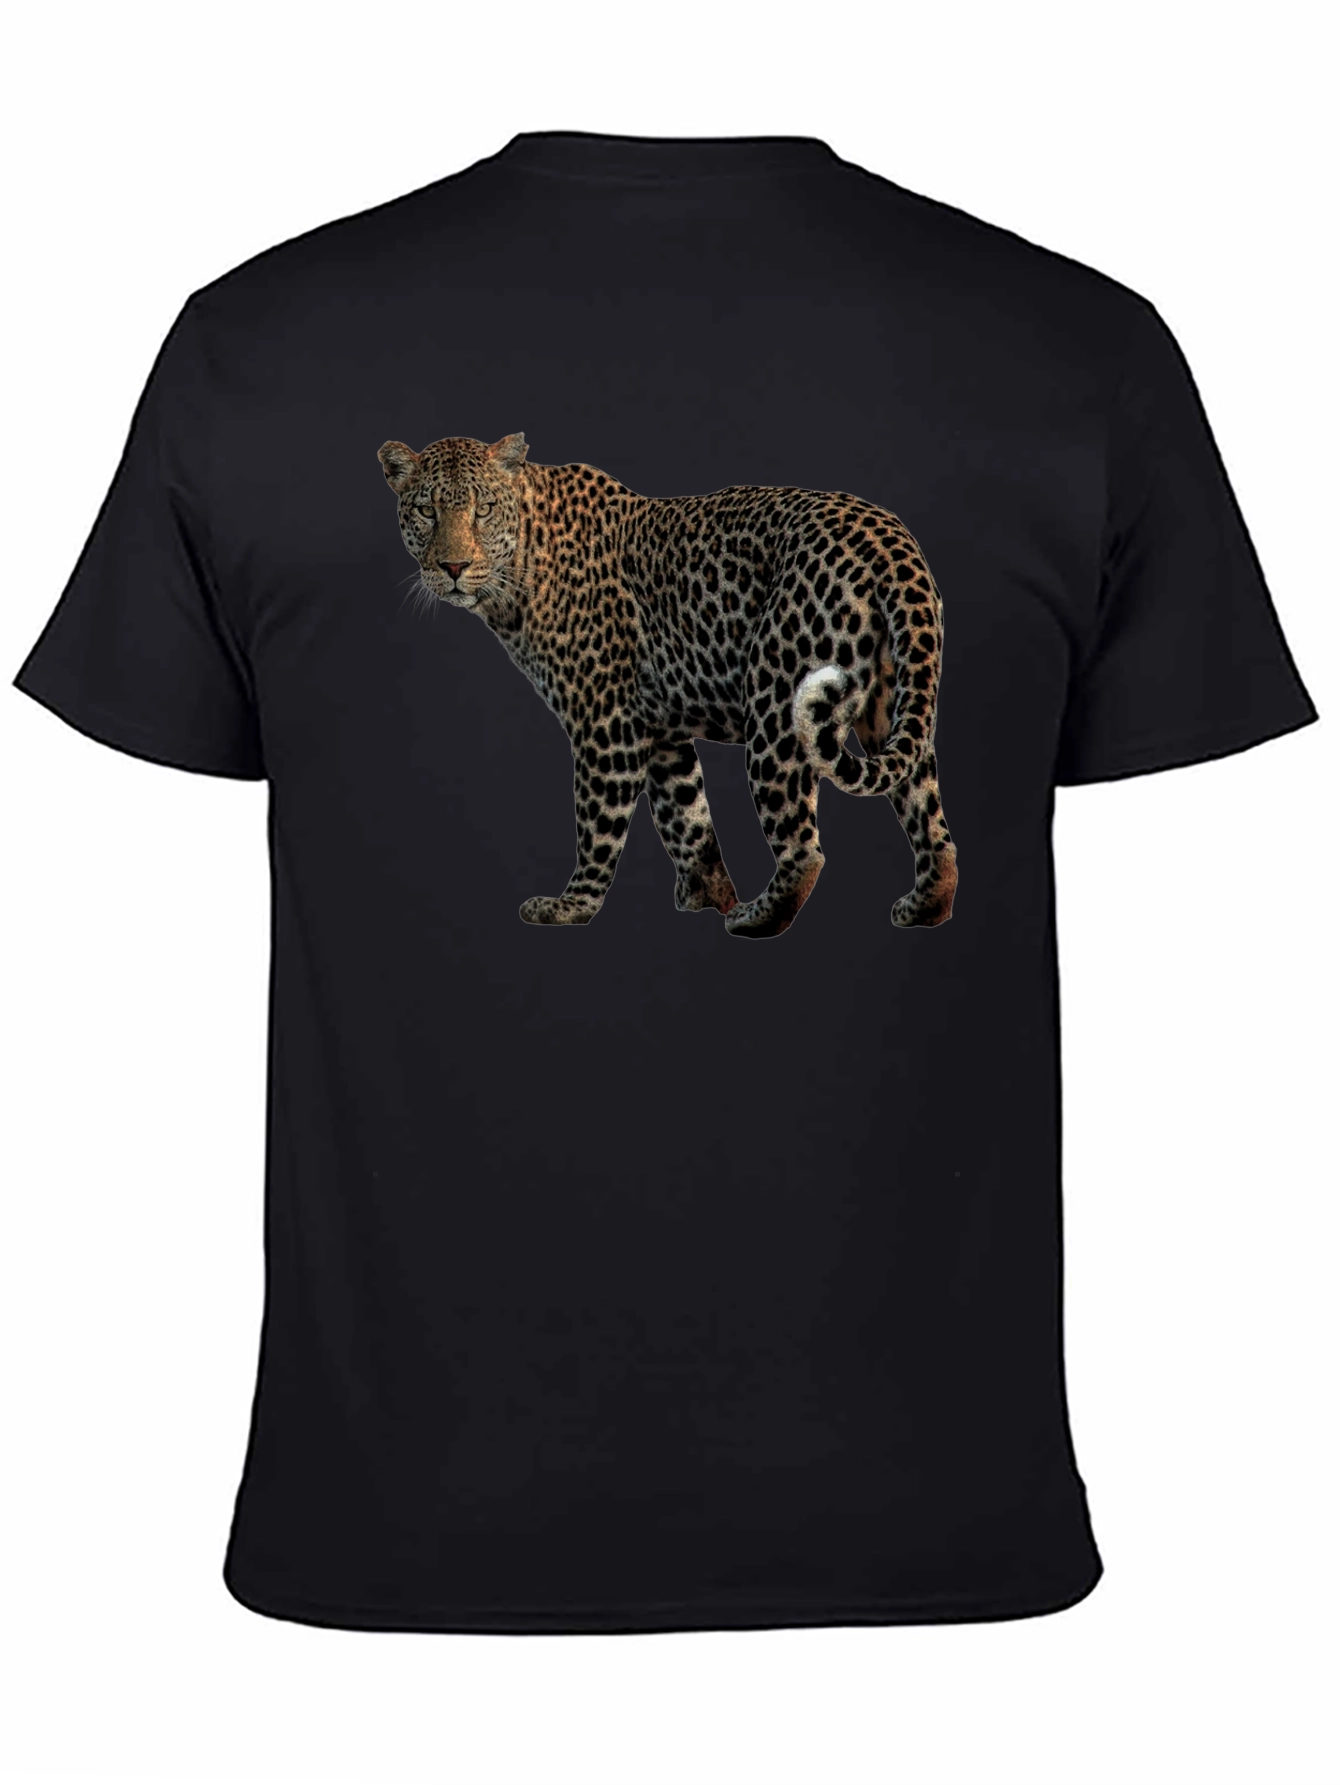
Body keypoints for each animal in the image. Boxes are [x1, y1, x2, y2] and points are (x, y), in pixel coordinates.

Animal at [378, 432, 957, 940]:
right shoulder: (659, 728)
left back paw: (756, 918)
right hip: (894, 705)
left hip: (775, 705)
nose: (454, 565)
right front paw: (704, 896)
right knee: (931, 822)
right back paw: (925, 906)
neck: (518, 570)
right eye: (427, 511)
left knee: (804, 848)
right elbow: (687, 817)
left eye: (482, 510)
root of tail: (891, 540)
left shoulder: (606, 722)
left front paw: (572, 907)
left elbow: (598, 822)